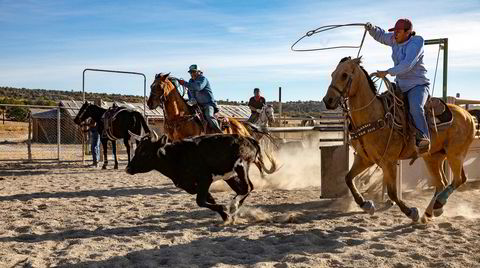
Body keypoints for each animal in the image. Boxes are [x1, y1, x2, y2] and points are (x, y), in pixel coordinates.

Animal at [320, 57, 474, 223]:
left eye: (344, 75)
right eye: (332, 74)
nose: (328, 100)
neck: (374, 115)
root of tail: (468, 115)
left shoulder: (389, 162)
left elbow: (393, 193)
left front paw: (411, 212)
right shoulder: (364, 159)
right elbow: (348, 178)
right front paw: (366, 204)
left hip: (455, 154)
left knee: (458, 179)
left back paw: (437, 205)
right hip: (433, 157)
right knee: (441, 184)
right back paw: (430, 212)